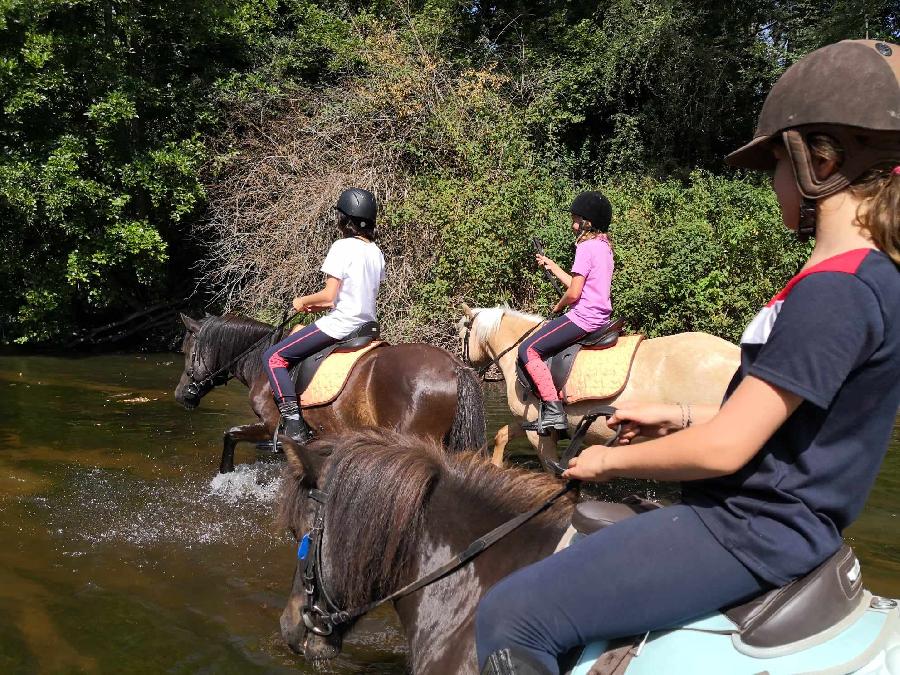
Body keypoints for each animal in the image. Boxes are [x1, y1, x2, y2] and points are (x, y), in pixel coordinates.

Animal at [175, 314, 486, 472]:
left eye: (187, 352)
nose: (181, 395)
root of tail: (454, 366)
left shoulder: (270, 425)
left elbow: (230, 435)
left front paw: (224, 475)